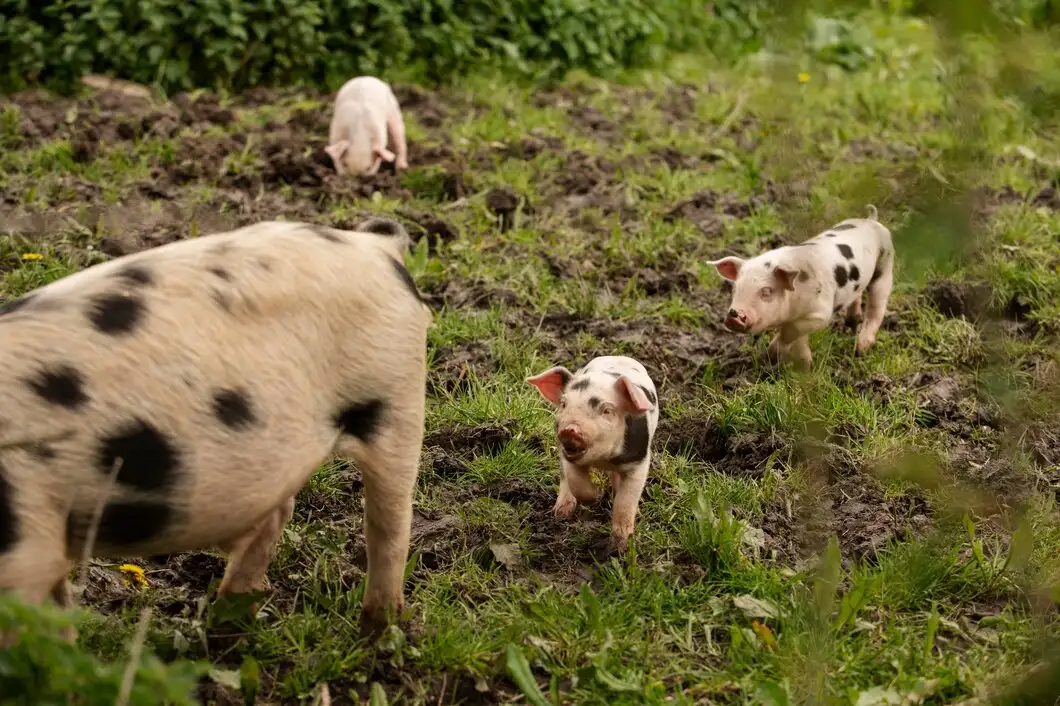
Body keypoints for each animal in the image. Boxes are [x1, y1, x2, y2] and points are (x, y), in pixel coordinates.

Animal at [1, 216, 430, 636]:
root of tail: (376, 247)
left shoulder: (27, 549)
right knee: (279, 511)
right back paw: (227, 622)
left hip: (397, 397)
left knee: (389, 524)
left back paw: (377, 632)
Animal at [525, 354, 657, 551]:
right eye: (564, 404)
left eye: (607, 411)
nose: (569, 429)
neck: (603, 459)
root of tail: (618, 356)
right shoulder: (568, 456)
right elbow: (577, 484)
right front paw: (597, 495)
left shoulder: (638, 462)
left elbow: (625, 501)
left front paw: (621, 546)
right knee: (565, 479)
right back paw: (561, 513)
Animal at [703, 203, 894, 368]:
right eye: (735, 288)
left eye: (766, 291)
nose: (734, 314)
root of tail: (871, 220)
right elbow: (798, 339)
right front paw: (803, 364)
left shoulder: (820, 313)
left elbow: (791, 331)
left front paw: (773, 354)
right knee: (857, 297)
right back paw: (851, 323)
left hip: (884, 269)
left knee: (877, 308)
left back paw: (860, 349)